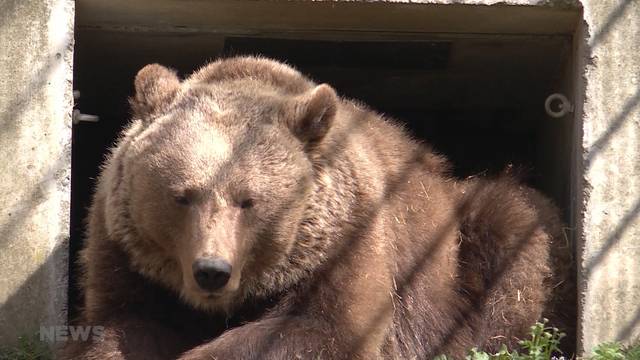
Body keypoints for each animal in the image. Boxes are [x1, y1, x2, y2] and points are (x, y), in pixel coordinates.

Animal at [58, 57, 568, 360]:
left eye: (249, 200)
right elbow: (121, 324)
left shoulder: (349, 240)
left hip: (456, 247)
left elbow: (322, 329)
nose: (211, 271)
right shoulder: (124, 254)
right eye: (182, 195)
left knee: (512, 229)